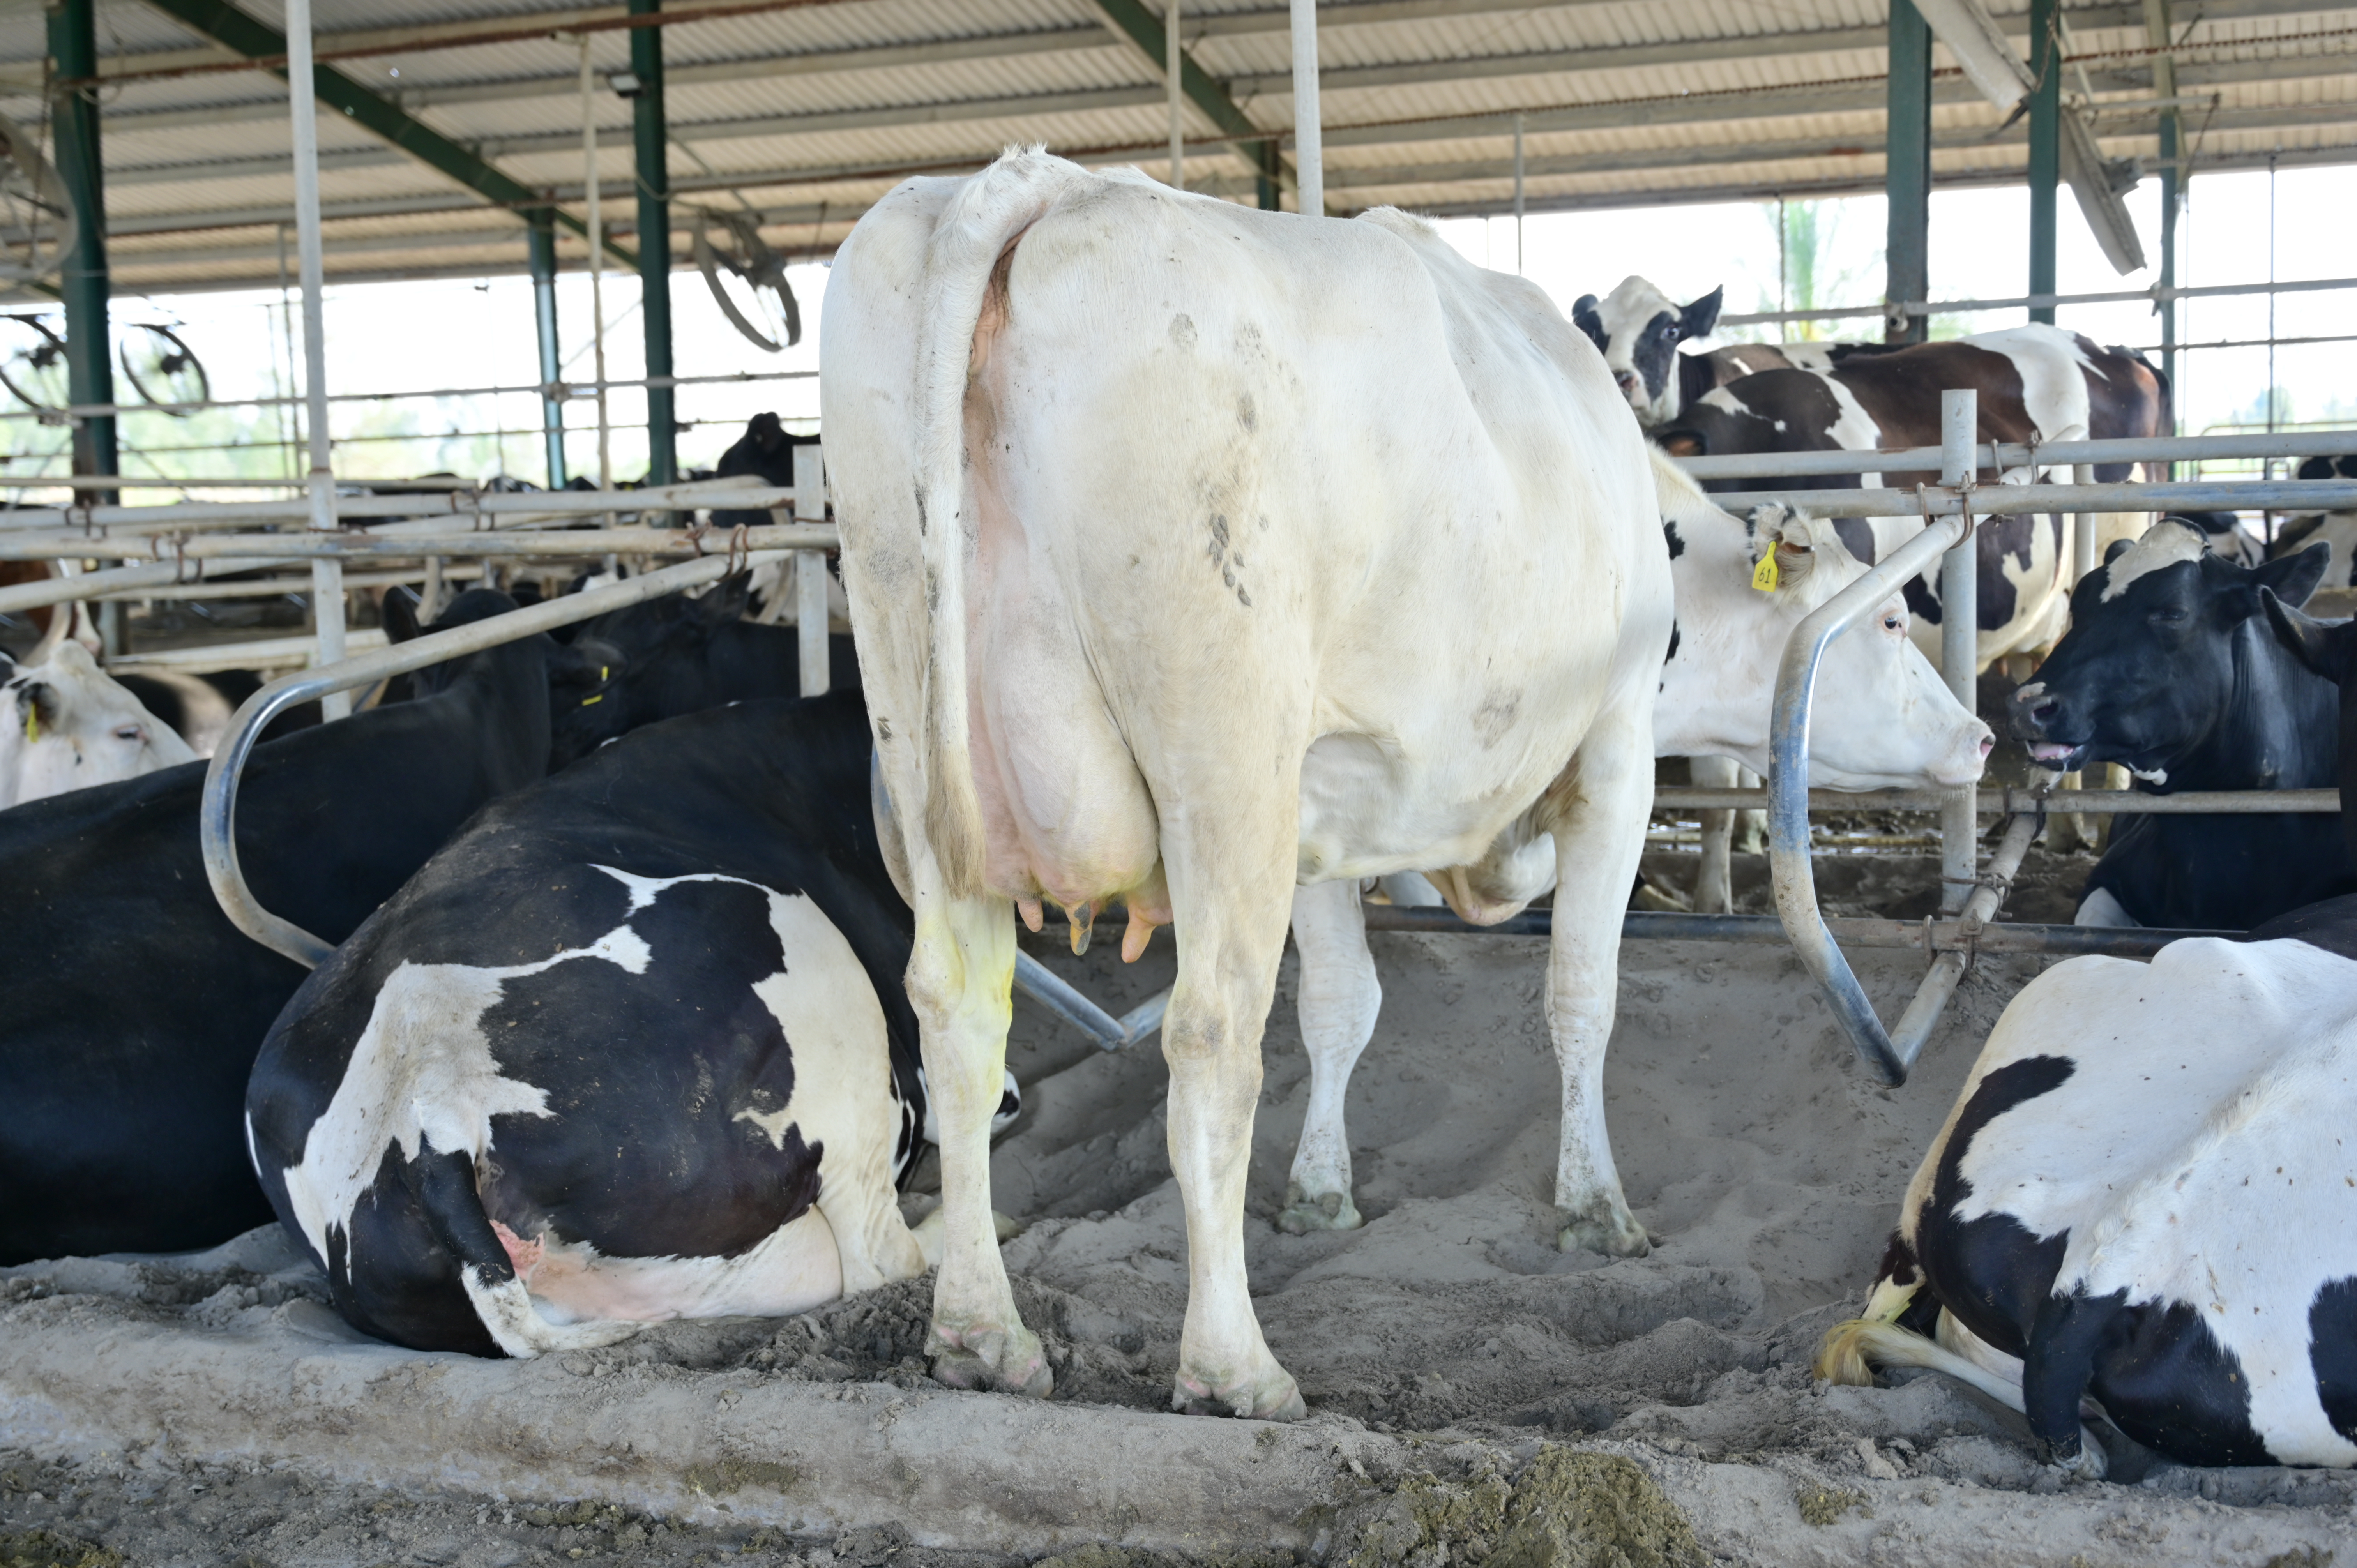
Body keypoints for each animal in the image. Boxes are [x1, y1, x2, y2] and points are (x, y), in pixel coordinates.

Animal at [826, 150, 1676, 1417]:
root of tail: (1042, 182)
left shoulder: (1316, 789)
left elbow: (1342, 1003)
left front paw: (1322, 1192)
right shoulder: (1622, 742)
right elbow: (1583, 993)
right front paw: (1597, 1206)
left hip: (912, 700)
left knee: (958, 1013)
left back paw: (984, 1332)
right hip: (1221, 746)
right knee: (1212, 1035)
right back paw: (1235, 1365)